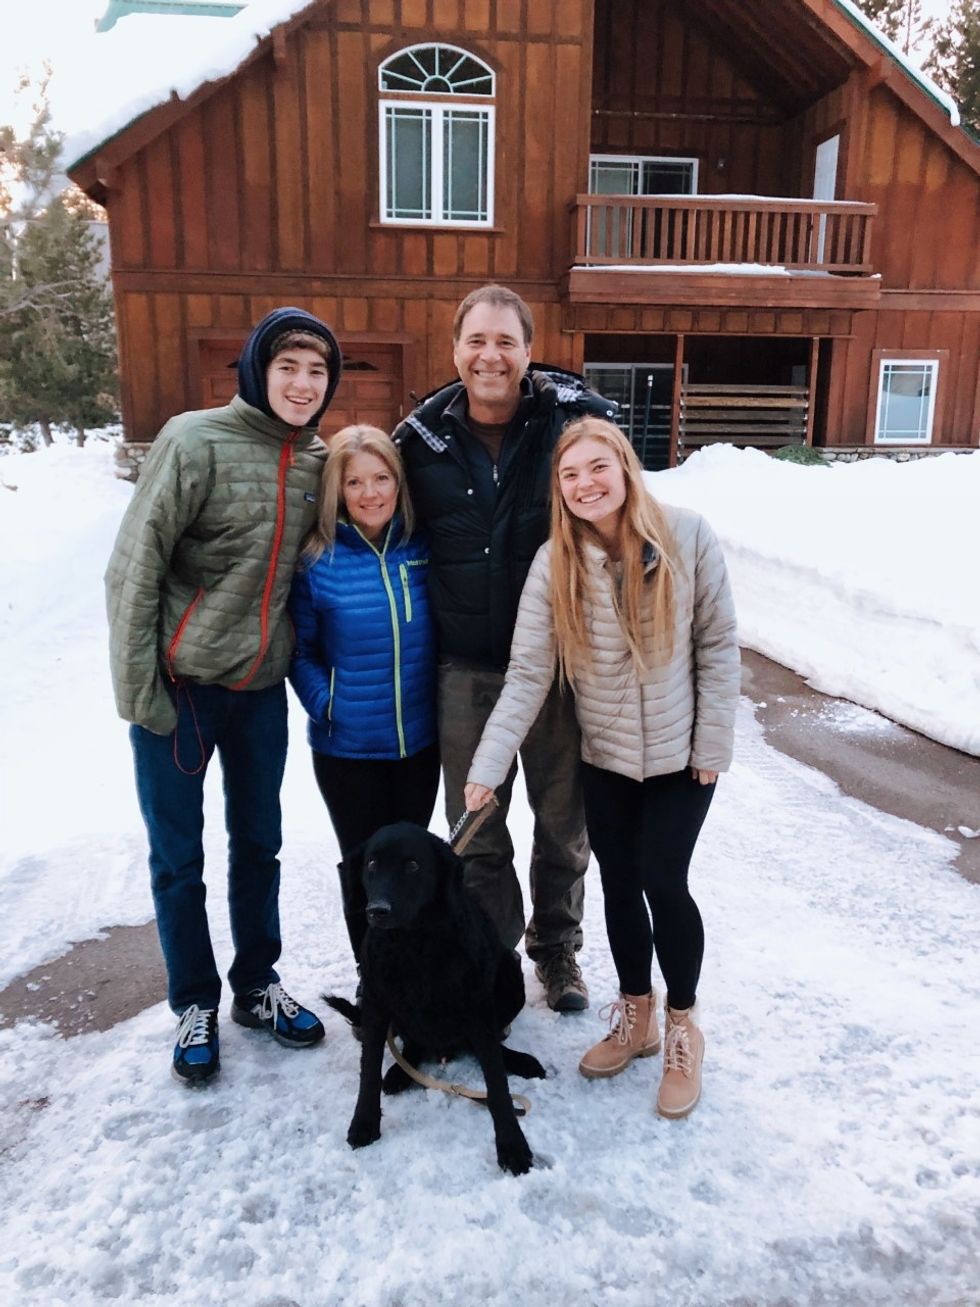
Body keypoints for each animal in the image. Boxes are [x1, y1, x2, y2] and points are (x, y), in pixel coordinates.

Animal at [325, 822, 546, 1175]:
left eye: (413, 865)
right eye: (372, 864)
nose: (377, 911)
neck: (414, 942)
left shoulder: (478, 1007)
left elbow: (497, 1083)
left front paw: (512, 1145)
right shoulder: (375, 1003)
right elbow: (368, 1071)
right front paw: (364, 1123)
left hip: (510, 973)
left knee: (489, 1049)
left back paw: (520, 1060)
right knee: (415, 1046)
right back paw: (400, 1073)